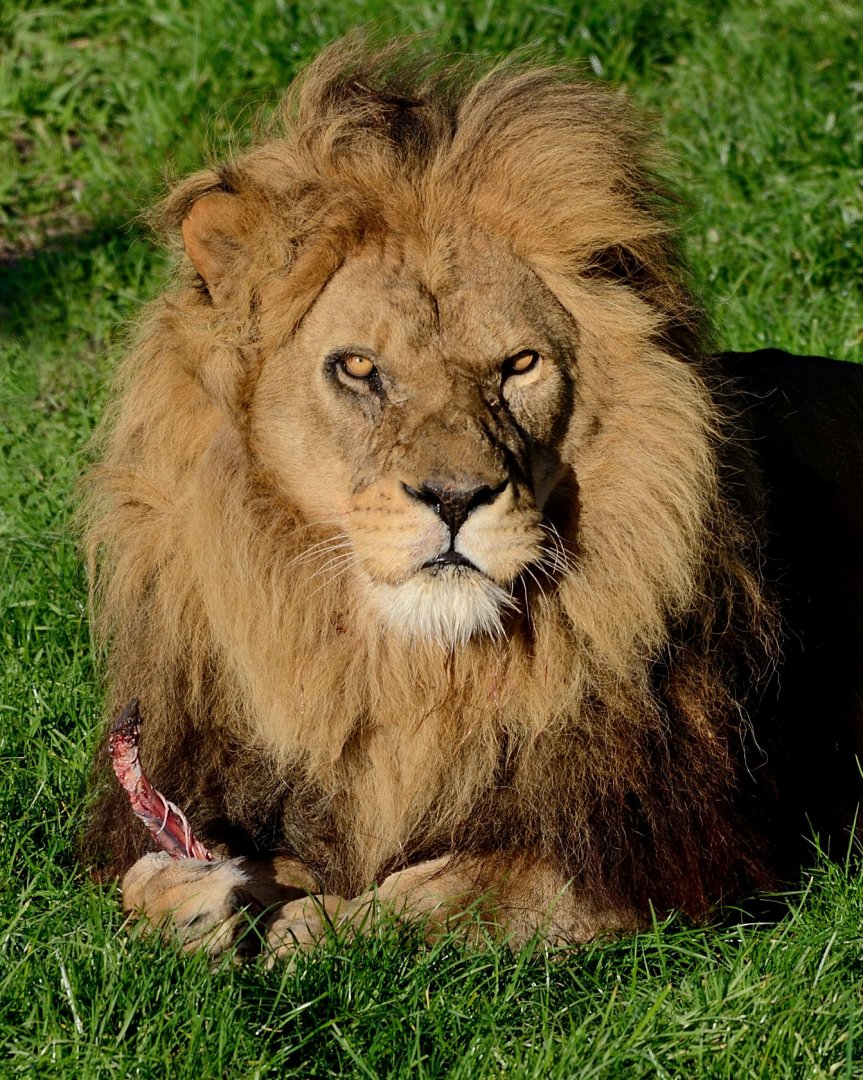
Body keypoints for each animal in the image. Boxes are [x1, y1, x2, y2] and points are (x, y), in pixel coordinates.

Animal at [83, 40, 863, 958]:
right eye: (358, 368)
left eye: (518, 365)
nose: (454, 498)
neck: (408, 672)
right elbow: (141, 883)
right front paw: (194, 894)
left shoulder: (667, 855)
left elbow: (456, 891)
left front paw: (317, 929)